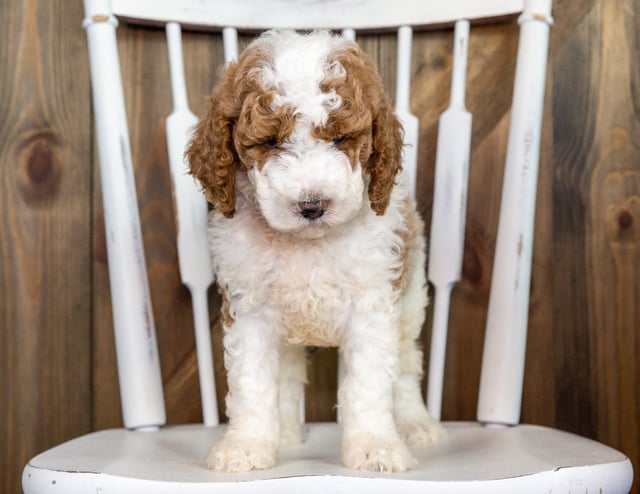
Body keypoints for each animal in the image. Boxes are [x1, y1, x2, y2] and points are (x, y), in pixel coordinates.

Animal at [188, 29, 442, 472]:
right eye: (270, 141)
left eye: (341, 138)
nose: (312, 205)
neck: (307, 243)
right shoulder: (250, 309)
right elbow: (253, 384)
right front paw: (246, 447)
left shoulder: (373, 304)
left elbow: (369, 385)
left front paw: (375, 447)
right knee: (287, 379)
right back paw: (287, 438)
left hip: (410, 298)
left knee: (408, 367)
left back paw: (416, 425)